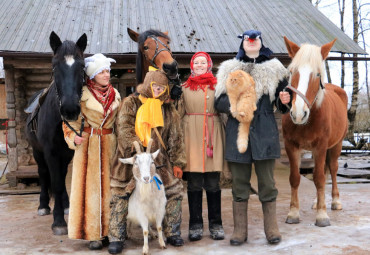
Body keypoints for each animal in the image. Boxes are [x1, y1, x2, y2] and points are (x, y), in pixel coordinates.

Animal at [25, 31, 87, 235]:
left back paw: (65, 205)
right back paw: (43, 206)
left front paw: (65, 209)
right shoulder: (50, 152)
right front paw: (58, 222)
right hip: (37, 152)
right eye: (54, 66)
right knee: (44, 174)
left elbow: (62, 180)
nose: (70, 109)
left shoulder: (68, 152)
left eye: (82, 65)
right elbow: (57, 183)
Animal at [282, 37, 348, 227]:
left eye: (317, 74)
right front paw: (293, 213)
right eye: (292, 72)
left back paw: (334, 201)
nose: (298, 113)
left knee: (332, 169)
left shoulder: (321, 146)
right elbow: (295, 178)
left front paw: (322, 215)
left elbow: (319, 178)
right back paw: (316, 201)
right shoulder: (291, 146)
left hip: (336, 146)